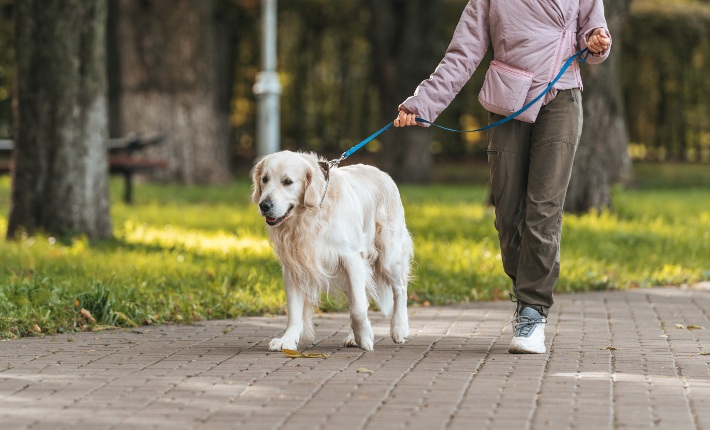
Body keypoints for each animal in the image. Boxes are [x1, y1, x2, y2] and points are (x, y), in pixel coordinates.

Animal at [253, 150, 414, 350]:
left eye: (287, 181)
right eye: (265, 179)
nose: (264, 205)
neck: (309, 215)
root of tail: (383, 174)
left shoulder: (352, 258)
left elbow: (358, 309)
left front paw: (365, 338)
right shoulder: (293, 266)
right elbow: (294, 310)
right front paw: (288, 340)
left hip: (389, 255)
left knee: (400, 289)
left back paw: (399, 328)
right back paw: (353, 337)